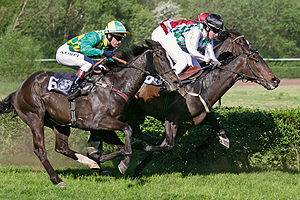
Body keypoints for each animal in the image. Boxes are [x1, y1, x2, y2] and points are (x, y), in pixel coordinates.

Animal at [0, 39, 180, 187]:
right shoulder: (99, 122)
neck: (116, 86)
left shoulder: (103, 129)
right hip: (35, 118)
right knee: (40, 150)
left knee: (62, 148)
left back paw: (89, 163)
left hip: (60, 123)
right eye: (162, 58)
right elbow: (127, 131)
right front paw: (123, 163)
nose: (176, 81)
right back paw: (57, 179)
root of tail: (19, 89)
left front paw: (101, 160)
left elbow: (121, 145)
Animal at [88, 28, 280, 174]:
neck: (202, 84)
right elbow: (166, 145)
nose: (275, 80)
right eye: (255, 59)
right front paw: (139, 151)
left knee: (129, 130)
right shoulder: (172, 118)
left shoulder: (188, 123)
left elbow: (212, 127)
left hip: (136, 113)